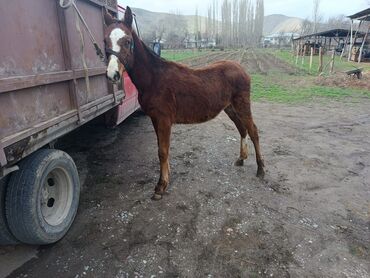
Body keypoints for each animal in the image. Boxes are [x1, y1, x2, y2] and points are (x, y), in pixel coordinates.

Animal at [104, 7, 264, 200]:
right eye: (105, 40)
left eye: (127, 41)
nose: (112, 74)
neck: (154, 79)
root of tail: (241, 68)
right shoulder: (155, 119)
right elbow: (161, 148)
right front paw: (166, 179)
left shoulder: (164, 119)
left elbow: (163, 151)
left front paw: (160, 187)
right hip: (230, 108)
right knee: (242, 129)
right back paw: (241, 159)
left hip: (242, 105)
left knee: (253, 131)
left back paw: (261, 169)